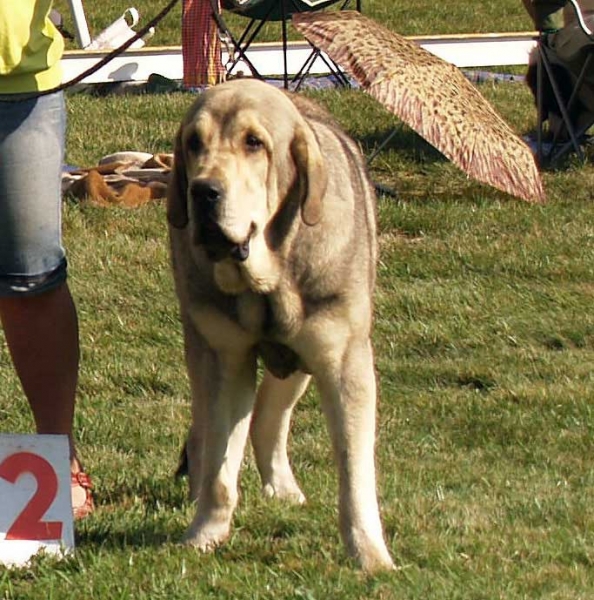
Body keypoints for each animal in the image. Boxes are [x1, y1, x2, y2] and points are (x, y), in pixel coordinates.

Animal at [165, 79, 394, 572]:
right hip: (200, 343)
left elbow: (354, 468)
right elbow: (220, 463)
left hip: (300, 363)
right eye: (194, 142)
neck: (271, 275)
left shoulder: (343, 361)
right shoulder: (225, 358)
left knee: (270, 417)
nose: (203, 191)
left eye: (254, 143)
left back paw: (283, 488)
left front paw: (369, 554)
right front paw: (205, 534)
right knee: (209, 428)